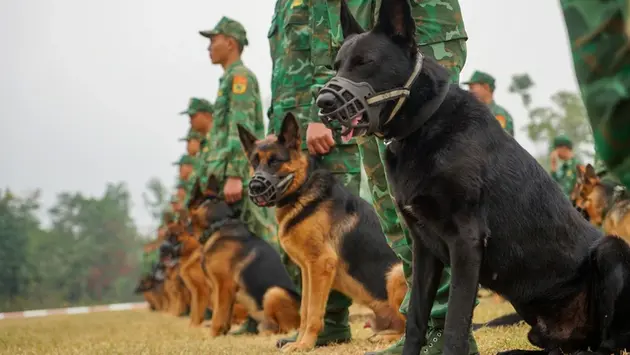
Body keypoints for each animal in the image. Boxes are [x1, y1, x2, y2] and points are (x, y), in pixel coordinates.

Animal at [194, 175, 304, 340]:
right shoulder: (224, 291)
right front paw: (222, 334)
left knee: (286, 328)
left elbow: (218, 315)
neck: (220, 224)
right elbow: (225, 317)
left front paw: (211, 337)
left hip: (274, 292)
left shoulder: (224, 286)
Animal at [238, 112, 410, 352]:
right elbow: (304, 310)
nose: (255, 187)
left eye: (275, 161)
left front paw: (304, 345)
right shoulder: (307, 270)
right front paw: (299, 341)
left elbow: (313, 312)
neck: (302, 191)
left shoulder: (320, 264)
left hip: (395, 273)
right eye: (255, 162)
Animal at [316, 1, 630, 354]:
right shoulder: (423, 249)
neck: (424, 125)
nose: (323, 103)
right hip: (541, 332)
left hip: (613, 250)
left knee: (608, 342)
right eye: (337, 66)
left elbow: (455, 322)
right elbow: (415, 319)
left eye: (365, 63)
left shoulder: (465, 242)